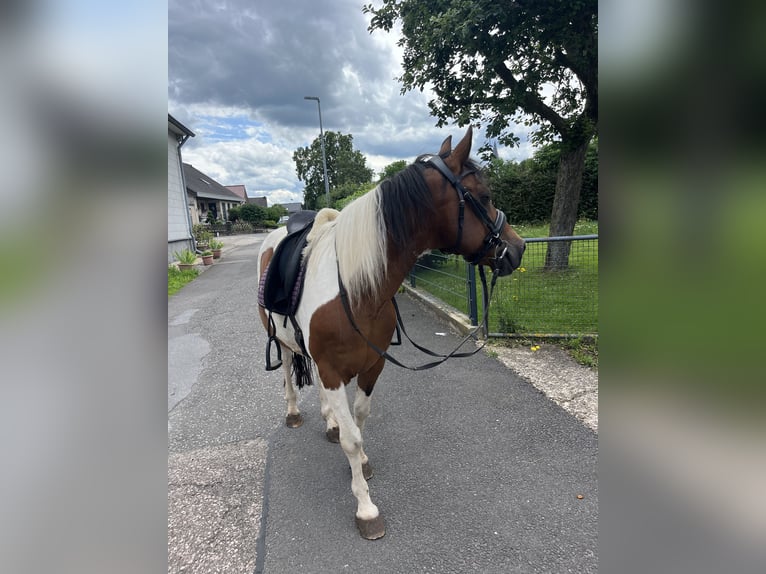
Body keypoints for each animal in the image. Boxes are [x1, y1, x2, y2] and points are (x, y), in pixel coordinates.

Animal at [256, 127, 525, 539]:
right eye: (483, 197)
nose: (517, 248)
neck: (355, 290)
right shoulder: (333, 370)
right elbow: (352, 438)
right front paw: (366, 509)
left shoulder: (372, 364)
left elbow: (360, 418)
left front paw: (360, 457)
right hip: (282, 341)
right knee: (287, 369)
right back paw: (293, 412)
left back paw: (329, 420)